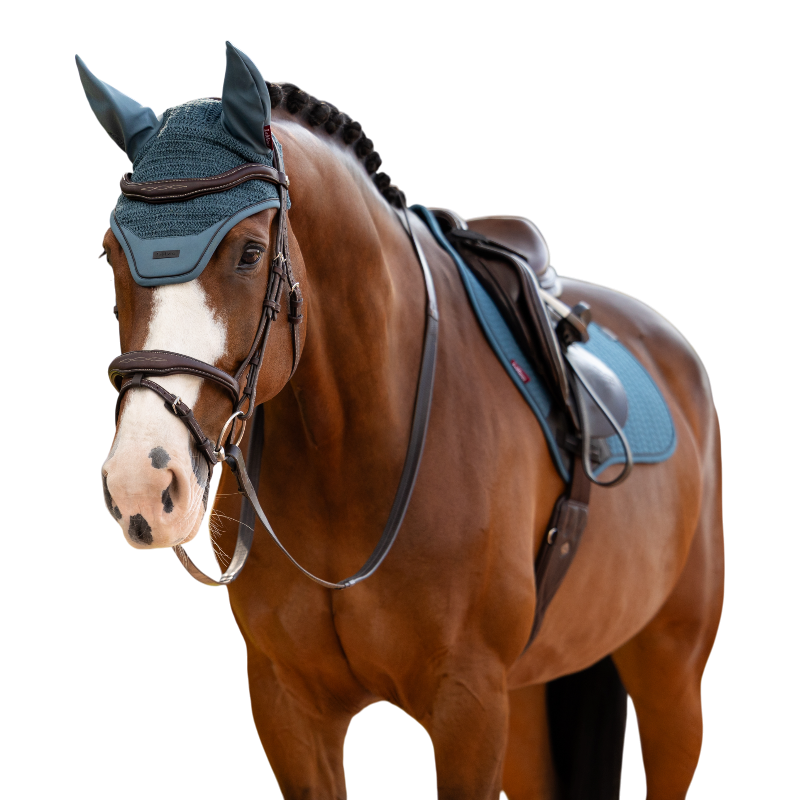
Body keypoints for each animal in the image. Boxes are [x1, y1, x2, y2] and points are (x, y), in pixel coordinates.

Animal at [88, 43, 724, 799]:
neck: (350, 456)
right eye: (110, 253)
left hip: (669, 672)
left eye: (248, 251)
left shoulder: (468, 703)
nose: (141, 484)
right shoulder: (288, 704)